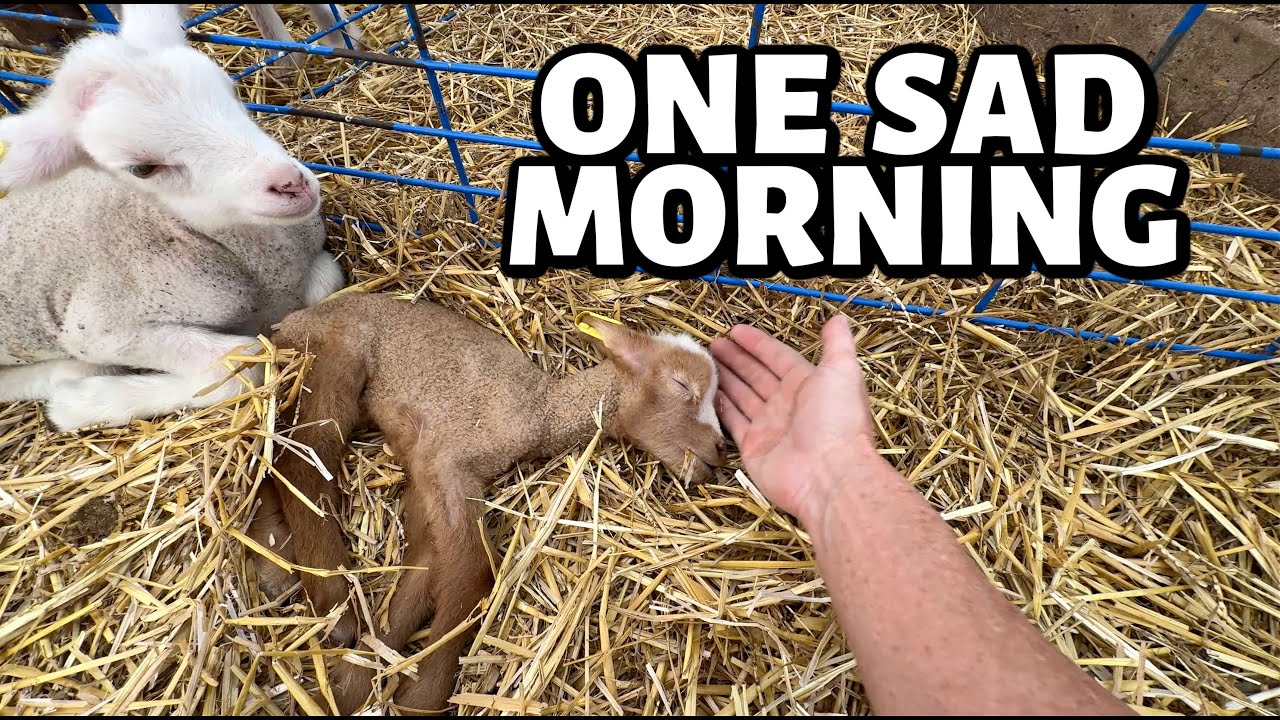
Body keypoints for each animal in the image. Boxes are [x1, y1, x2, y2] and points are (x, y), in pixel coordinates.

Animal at [0, 4, 345, 431]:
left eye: (230, 91)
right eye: (142, 169)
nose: (290, 183)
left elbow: (327, 282)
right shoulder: (97, 329)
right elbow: (240, 363)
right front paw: (79, 404)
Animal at [248, 292, 727, 714]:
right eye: (681, 383)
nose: (720, 450)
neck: (540, 412)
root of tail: (292, 320)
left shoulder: (428, 474)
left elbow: (422, 572)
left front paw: (359, 679)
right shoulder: (451, 461)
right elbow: (476, 571)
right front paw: (423, 695)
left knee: (275, 454)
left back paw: (275, 560)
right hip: (345, 349)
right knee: (305, 455)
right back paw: (334, 603)